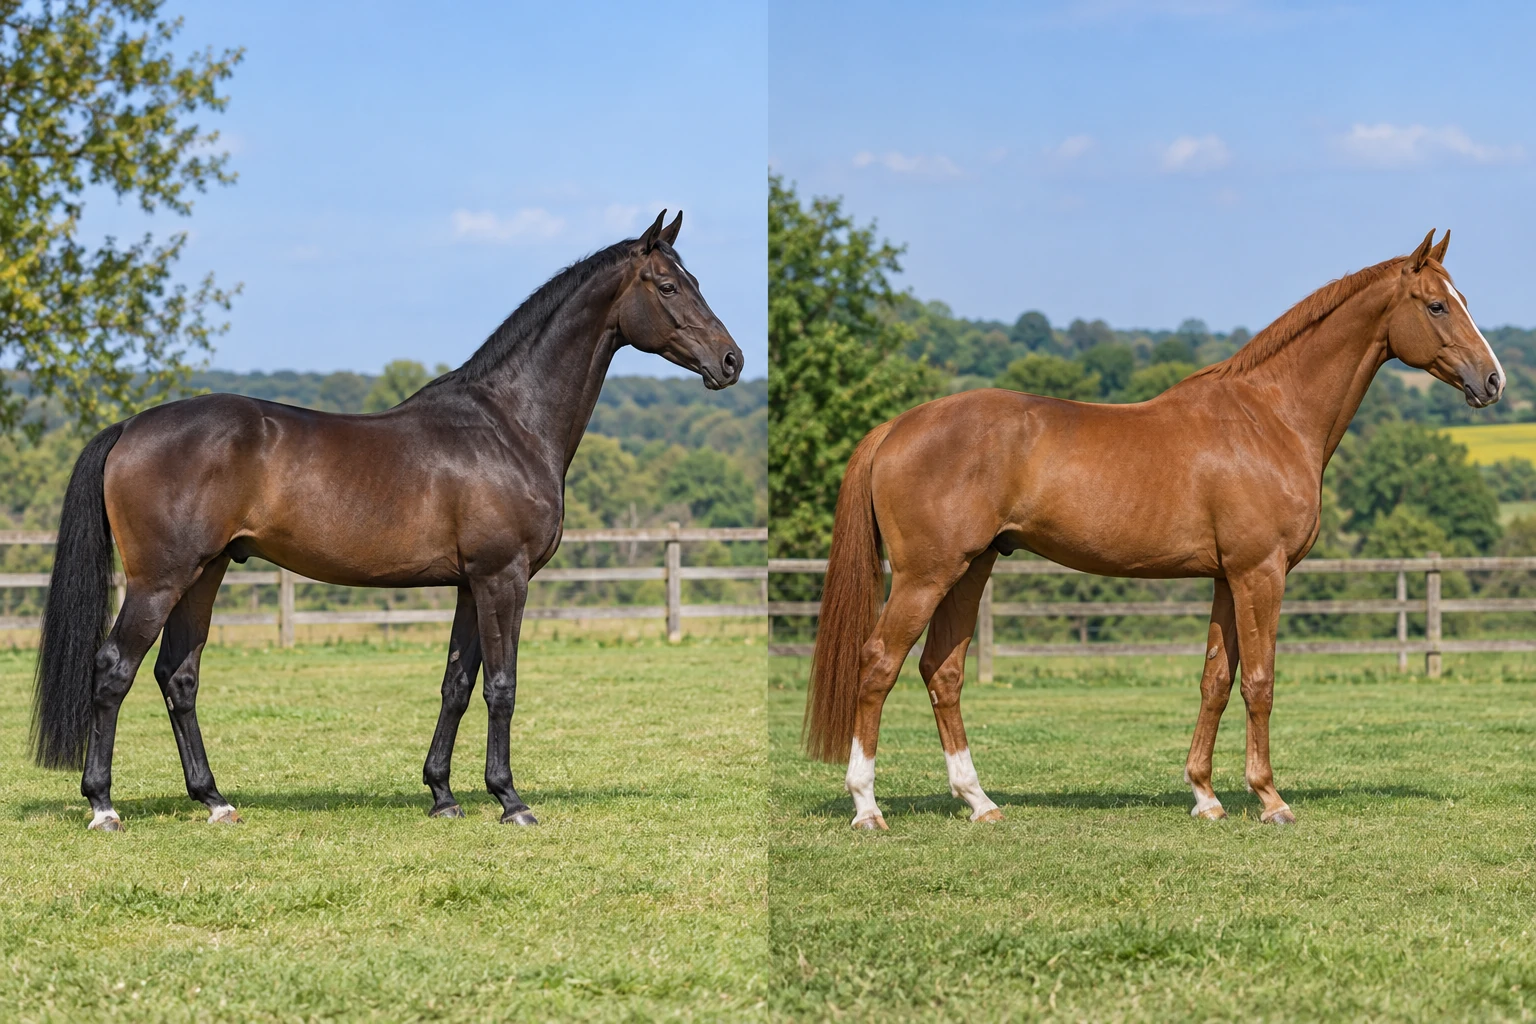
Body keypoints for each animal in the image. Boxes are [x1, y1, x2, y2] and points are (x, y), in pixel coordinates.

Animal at [32, 210, 743, 831]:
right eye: (669, 285)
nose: (731, 361)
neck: (508, 425)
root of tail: (131, 426)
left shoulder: (469, 585)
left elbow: (457, 684)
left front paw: (443, 796)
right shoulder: (503, 578)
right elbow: (502, 686)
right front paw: (510, 800)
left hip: (203, 575)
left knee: (177, 677)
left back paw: (214, 800)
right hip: (159, 580)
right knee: (114, 670)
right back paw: (102, 805)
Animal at [804, 230, 1503, 830]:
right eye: (1437, 304)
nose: (1492, 380)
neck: (1270, 418)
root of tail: (895, 428)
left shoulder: (1227, 577)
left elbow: (1215, 681)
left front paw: (1205, 796)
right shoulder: (1261, 572)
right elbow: (1260, 682)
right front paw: (1270, 799)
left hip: (971, 569)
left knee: (941, 672)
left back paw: (979, 802)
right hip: (926, 575)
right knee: (878, 664)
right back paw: (867, 807)